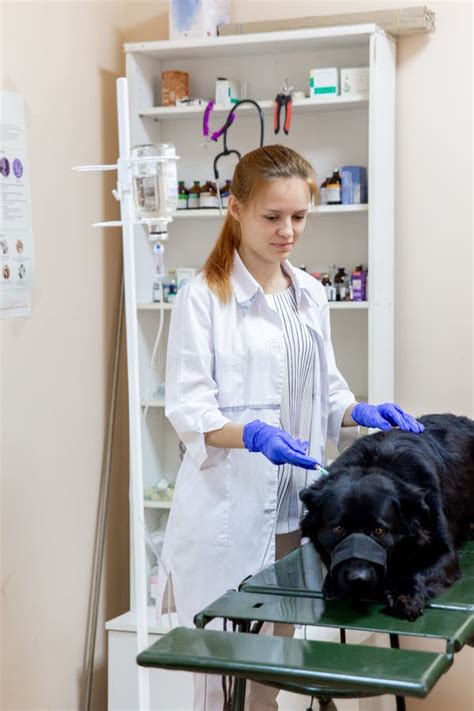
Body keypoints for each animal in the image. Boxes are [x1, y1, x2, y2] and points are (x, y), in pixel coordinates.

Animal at [300, 414, 474, 620]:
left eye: (379, 531)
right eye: (339, 529)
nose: (358, 579)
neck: (377, 463)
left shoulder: (443, 550)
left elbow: (418, 570)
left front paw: (405, 594)